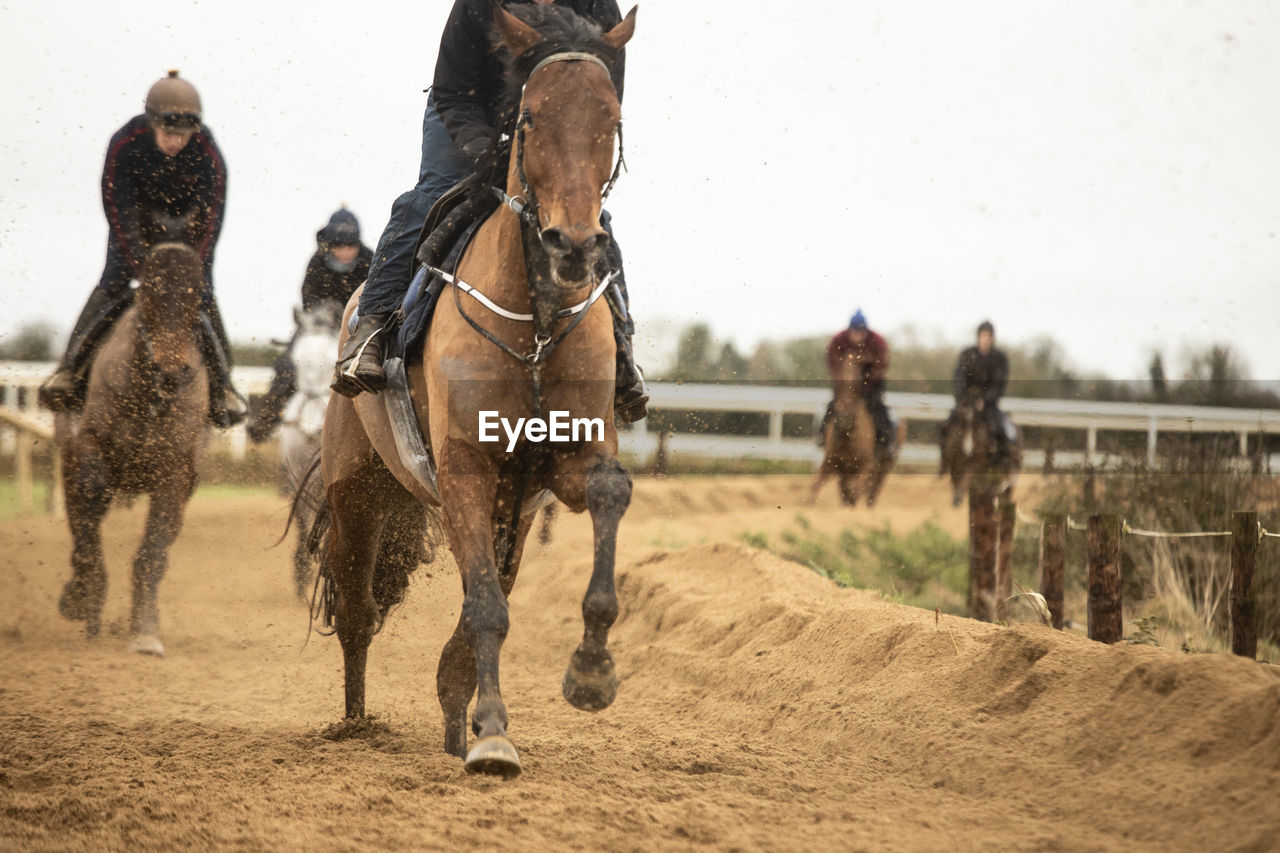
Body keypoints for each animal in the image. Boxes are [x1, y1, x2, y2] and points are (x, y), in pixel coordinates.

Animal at [58, 211, 209, 650]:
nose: (172, 371)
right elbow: (89, 517)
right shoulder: (90, 451)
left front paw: (144, 630)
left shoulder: (176, 473)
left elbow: (153, 550)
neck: (148, 395)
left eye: (197, 292)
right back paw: (81, 600)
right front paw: (88, 601)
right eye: (148, 291)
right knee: (80, 518)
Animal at [311, 8, 640, 778]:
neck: (537, 327)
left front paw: (591, 671)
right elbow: (486, 607)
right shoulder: (464, 466)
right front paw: (493, 736)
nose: (573, 244)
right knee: (361, 612)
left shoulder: (556, 465)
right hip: (357, 490)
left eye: (611, 117)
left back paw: (452, 718)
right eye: (528, 118)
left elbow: (608, 492)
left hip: (507, 511)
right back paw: (357, 726)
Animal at [808, 353, 901, 504]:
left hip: (884, 468)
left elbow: (856, 492)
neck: (849, 435)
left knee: (871, 493)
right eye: (838, 385)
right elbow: (815, 486)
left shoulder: (866, 466)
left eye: (856, 386)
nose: (844, 418)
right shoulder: (832, 464)